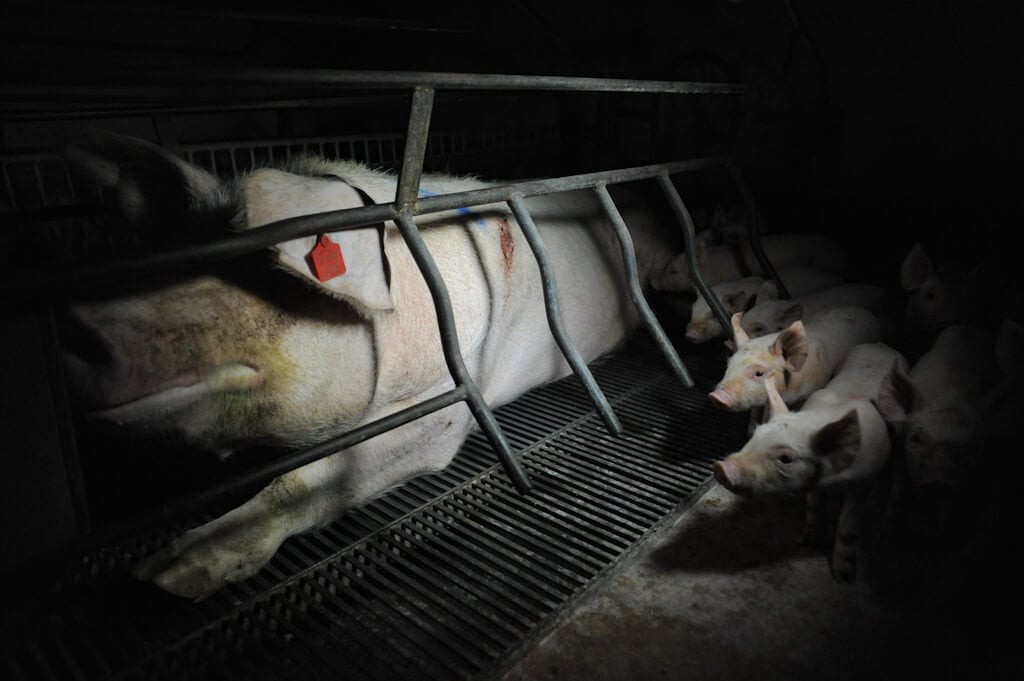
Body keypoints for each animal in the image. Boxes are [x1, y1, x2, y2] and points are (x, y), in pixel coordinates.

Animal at [59, 134, 675, 602]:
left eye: (267, 273)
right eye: (180, 254)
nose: (80, 321)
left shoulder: (444, 409)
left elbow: (305, 479)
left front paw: (166, 575)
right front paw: (150, 573)